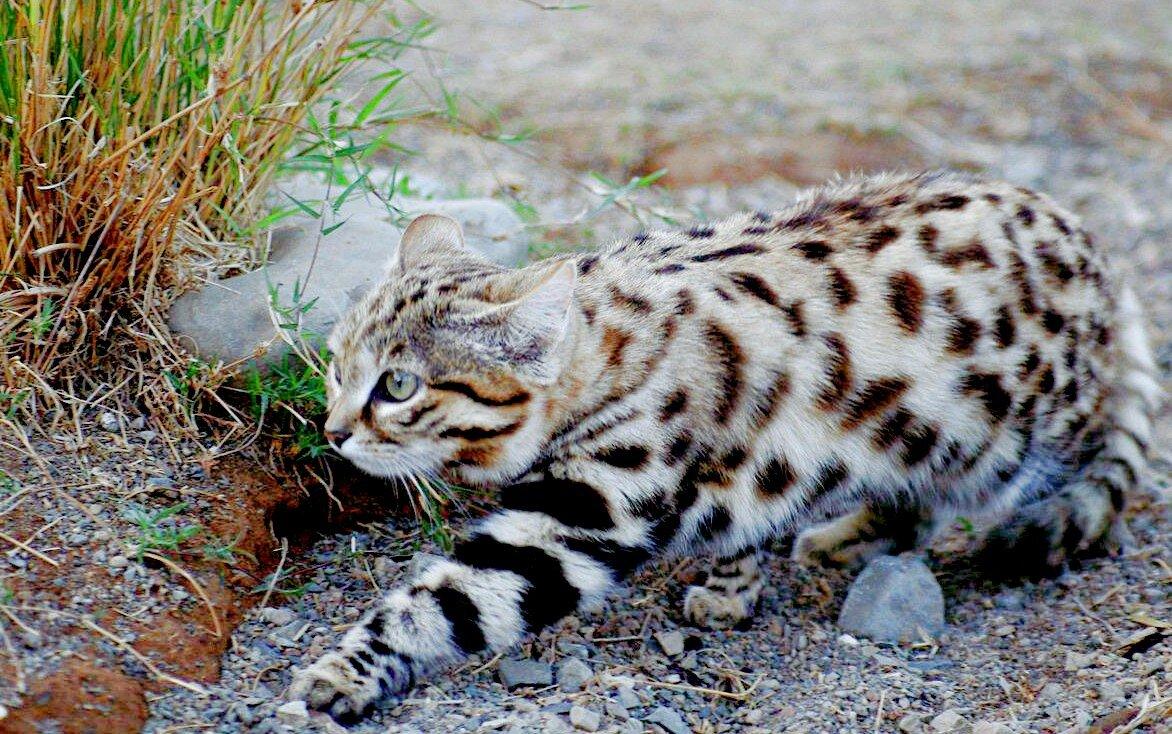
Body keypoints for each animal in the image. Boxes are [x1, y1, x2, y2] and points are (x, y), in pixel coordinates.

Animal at [288, 168, 1157, 717]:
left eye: (400, 386)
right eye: (335, 363)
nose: (333, 432)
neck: (606, 347)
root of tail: (1096, 252)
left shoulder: (581, 523)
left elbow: (439, 602)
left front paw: (342, 672)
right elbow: (746, 521)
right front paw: (733, 588)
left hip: (1010, 440)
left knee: (1094, 457)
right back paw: (851, 534)